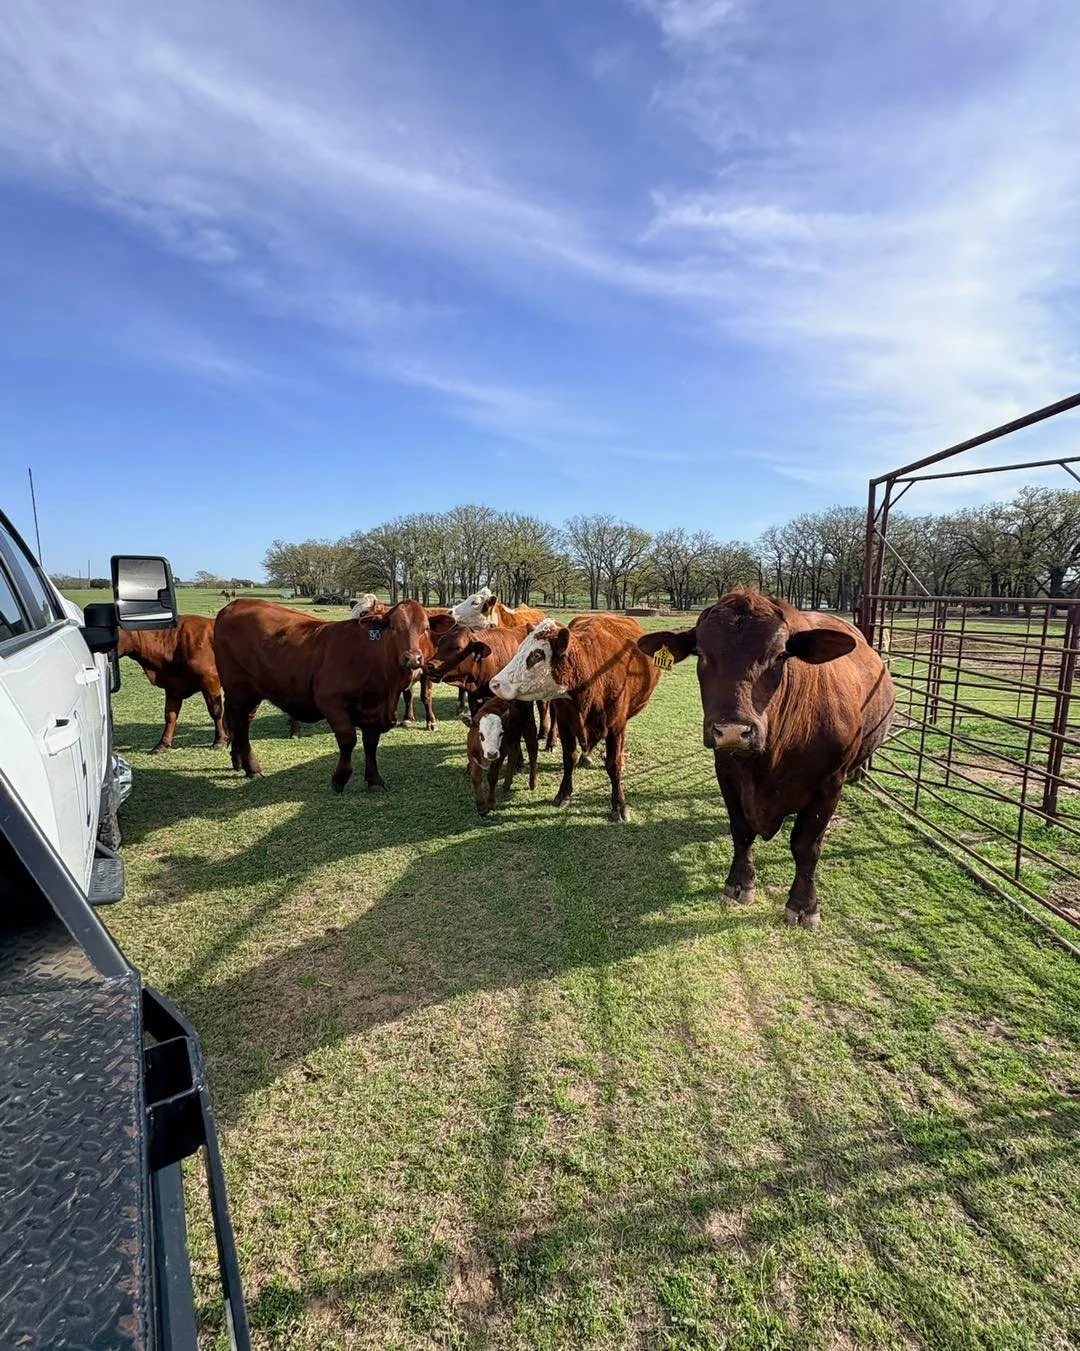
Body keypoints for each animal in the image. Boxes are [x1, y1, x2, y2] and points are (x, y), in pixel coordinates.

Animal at [117, 614, 227, 753]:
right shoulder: (172, 687)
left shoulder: (210, 679)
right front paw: (162, 744)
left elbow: (215, 710)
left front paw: (220, 740)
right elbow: (170, 715)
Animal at [214, 597, 430, 791]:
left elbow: (370, 744)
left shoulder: (373, 711)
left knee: (242, 721)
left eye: (425, 628)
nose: (412, 658)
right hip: (239, 689)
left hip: (252, 693)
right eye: (393, 628)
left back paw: (239, 762)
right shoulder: (331, 702)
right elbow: (348, 740)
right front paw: (340, 778)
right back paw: (252, 768)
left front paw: (375, 780)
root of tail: (234, 604)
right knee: (240, 723)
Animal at [489, 615, 659, 822]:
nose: (495, 683)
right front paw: (564, 794)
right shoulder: (565, 723)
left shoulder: (616, 727)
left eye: (537, 655)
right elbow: (569, 758)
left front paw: (619, 805)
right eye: (520, 648)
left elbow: (613, 766)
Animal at [637, 589, 895, 929]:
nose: (733, 730)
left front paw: (804, 905)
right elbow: (741, 830)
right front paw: (739, 883)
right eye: (701, 654)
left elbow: (807, 846)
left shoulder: (829, 784)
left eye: (780, 655)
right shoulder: (727, 773)